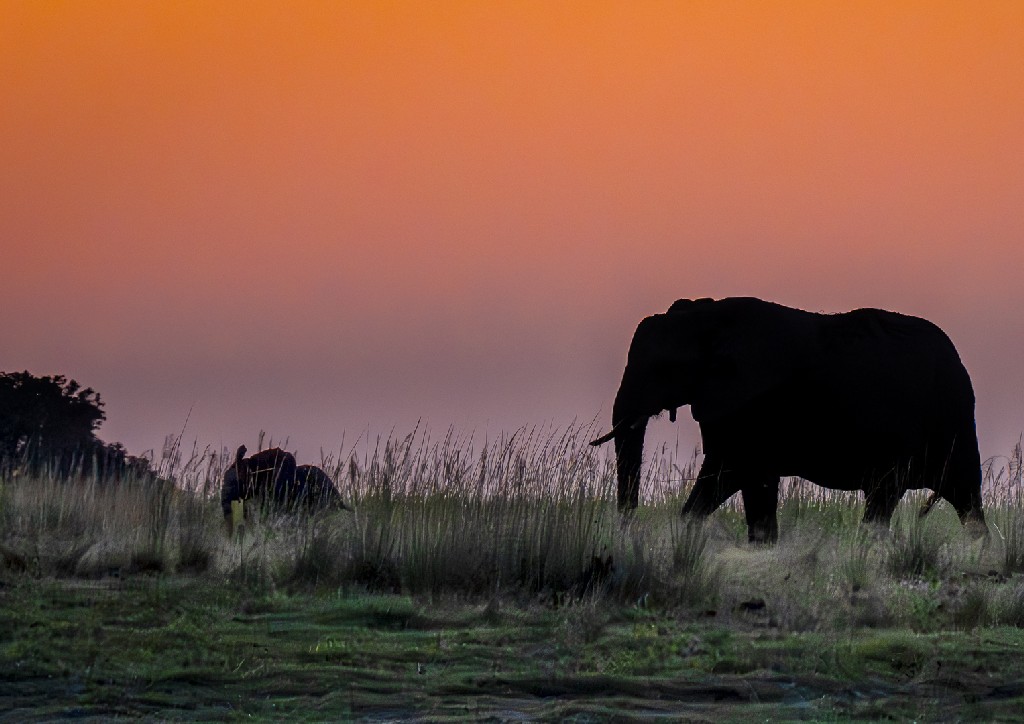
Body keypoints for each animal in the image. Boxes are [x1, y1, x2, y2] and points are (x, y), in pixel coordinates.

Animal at [590, 297, 985, 543]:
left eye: (663, 369)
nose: (628, 528)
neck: (707, 320)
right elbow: (734, 480)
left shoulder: (753, 402)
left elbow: (737, 473)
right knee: (959, 497)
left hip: (948, 418)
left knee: (909, 493)